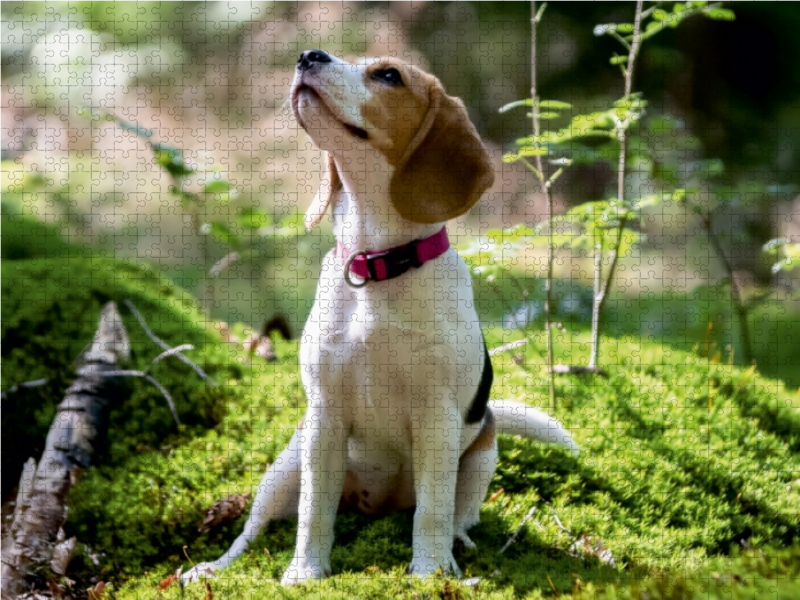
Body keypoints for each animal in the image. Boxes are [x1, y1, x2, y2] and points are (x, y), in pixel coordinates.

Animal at [184, 50, 580, 584]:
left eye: (389, 75)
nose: (308, 55)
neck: (376, 266)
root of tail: (377, 504)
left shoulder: (437, 416)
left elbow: (432, 512)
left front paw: (430, 573)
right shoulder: (325, 414)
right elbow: (314, 512)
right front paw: (304, 573)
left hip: (483, 453)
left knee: (455, 515)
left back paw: (458, 548)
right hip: (285, 465)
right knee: (253, 528)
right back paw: (212, 567)